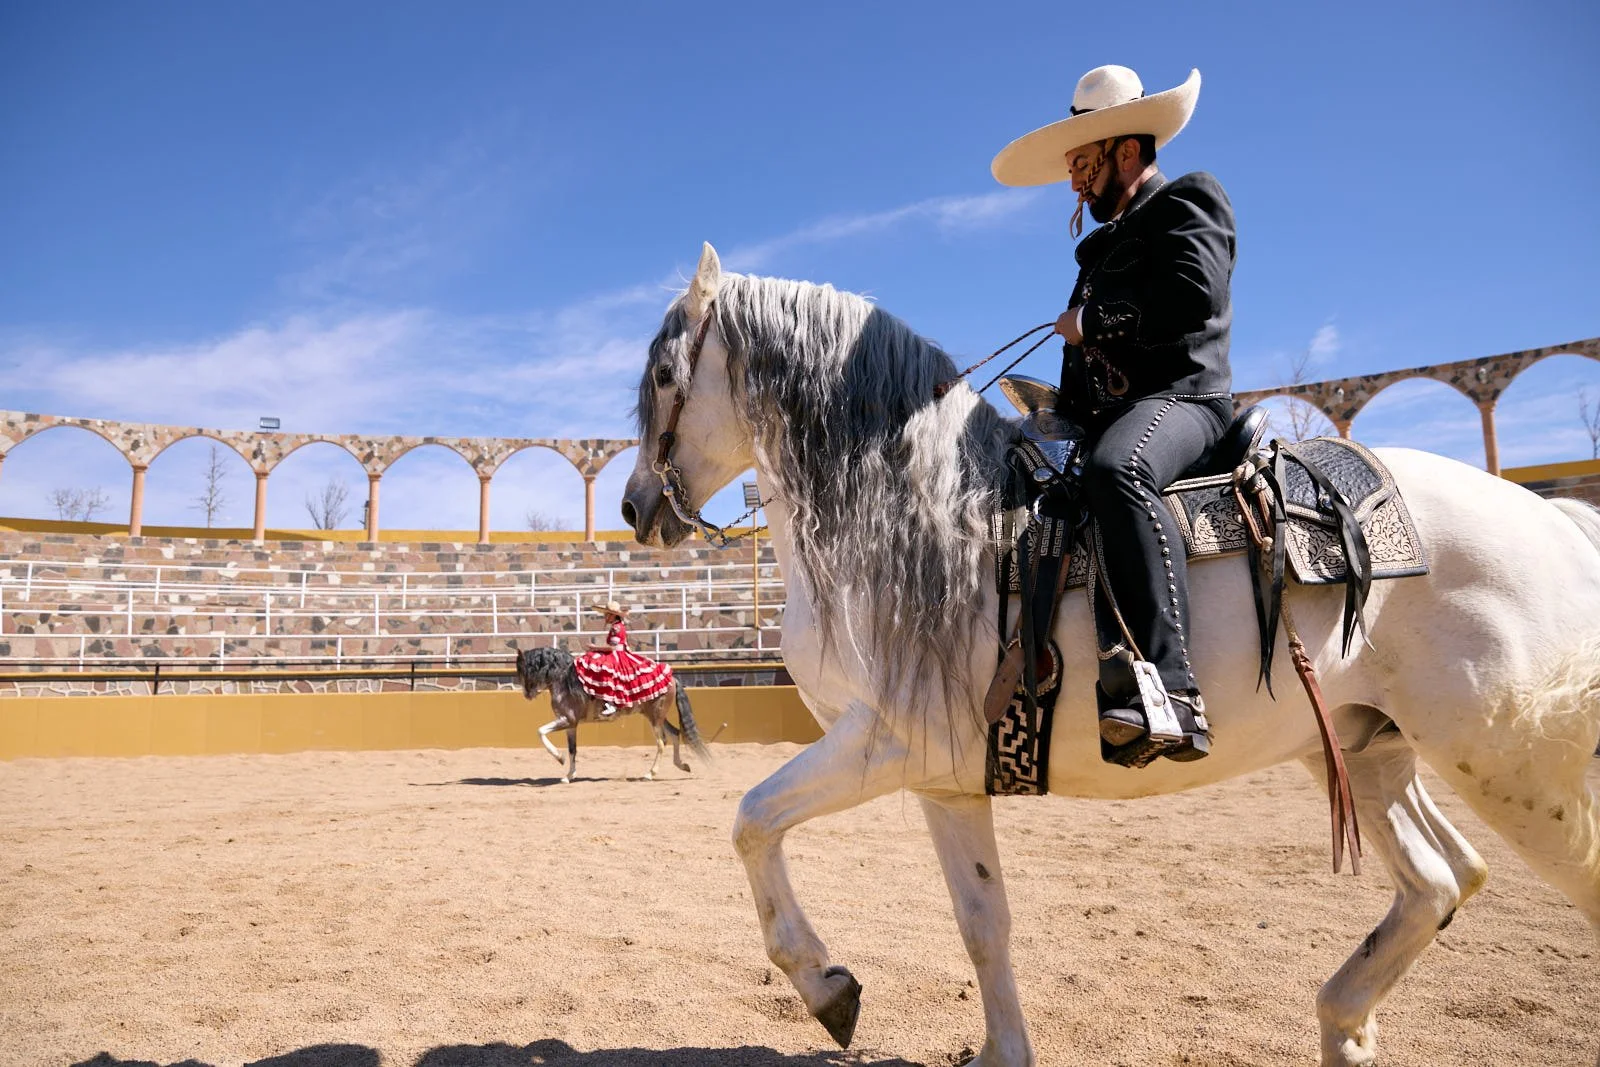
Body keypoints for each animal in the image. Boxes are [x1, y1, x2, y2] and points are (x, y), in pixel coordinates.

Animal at [512, 645, 710, 783]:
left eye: (522, 669)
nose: (526, 694)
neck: (564, 679)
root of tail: (672, 677)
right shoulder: (571, 725)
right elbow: (572, 750)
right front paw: (568, 776)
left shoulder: (566, 719)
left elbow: (540, 731)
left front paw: (559, 758)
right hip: (657, 716)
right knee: (675, 734)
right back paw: (682, 765)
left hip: (655, 718)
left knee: (662, 742)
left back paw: (649, 774)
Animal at [620, 244, 1600, 1067]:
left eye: (666, 375)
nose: (635, 507)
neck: (924, 520)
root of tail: (1555, 517)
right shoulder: (947, 773)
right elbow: (982, 921)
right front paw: (988, 1045)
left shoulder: (884, 739)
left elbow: (751, 817)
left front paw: (828, 986)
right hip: (1367, 748)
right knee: (1441, 878)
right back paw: (1344, 1026)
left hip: (1511, 760)